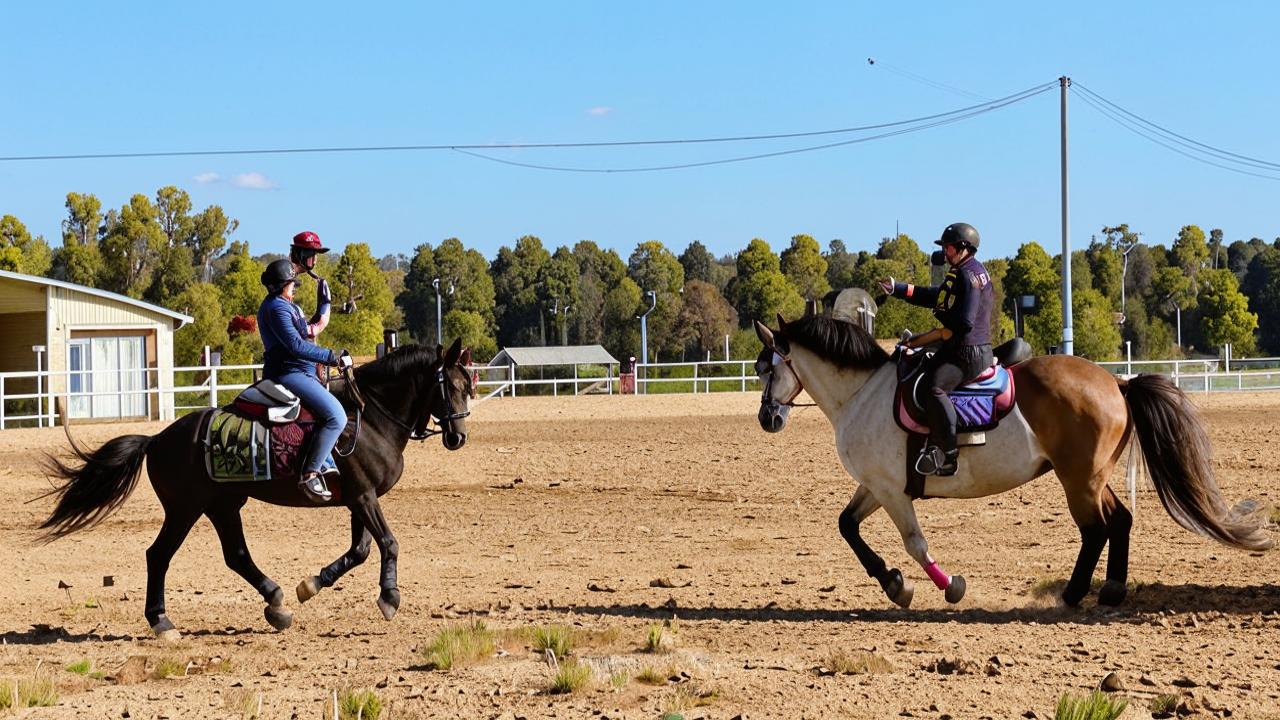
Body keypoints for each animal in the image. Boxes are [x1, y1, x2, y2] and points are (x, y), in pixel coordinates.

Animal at [37, 338, 473, 635]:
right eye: (450, 386)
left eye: (468, 386)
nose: (458, 437)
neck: (370, 418)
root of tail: (157, 438)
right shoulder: (364, 497)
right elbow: (388, 543)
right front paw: (389, 598)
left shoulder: (357, 499)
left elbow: (361, 550)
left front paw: (312, 585)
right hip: (185, 509)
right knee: (158, 555)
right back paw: (161, 621)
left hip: (222, 506)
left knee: (236, 556)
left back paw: (276, 603)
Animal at [752, 312, 1274, 604]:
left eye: (765, 368)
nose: (767, 418)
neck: (861, 393)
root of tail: (1117, 382)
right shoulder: (877, 485)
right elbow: (847, 526)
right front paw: (894, 583)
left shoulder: (892, 491)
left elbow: (915, 544)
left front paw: (943, 586)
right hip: (1092, 477)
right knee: (1119, 522)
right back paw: (1110, 591)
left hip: (1077, 480)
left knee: (1096, 530)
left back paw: (1074, 593)